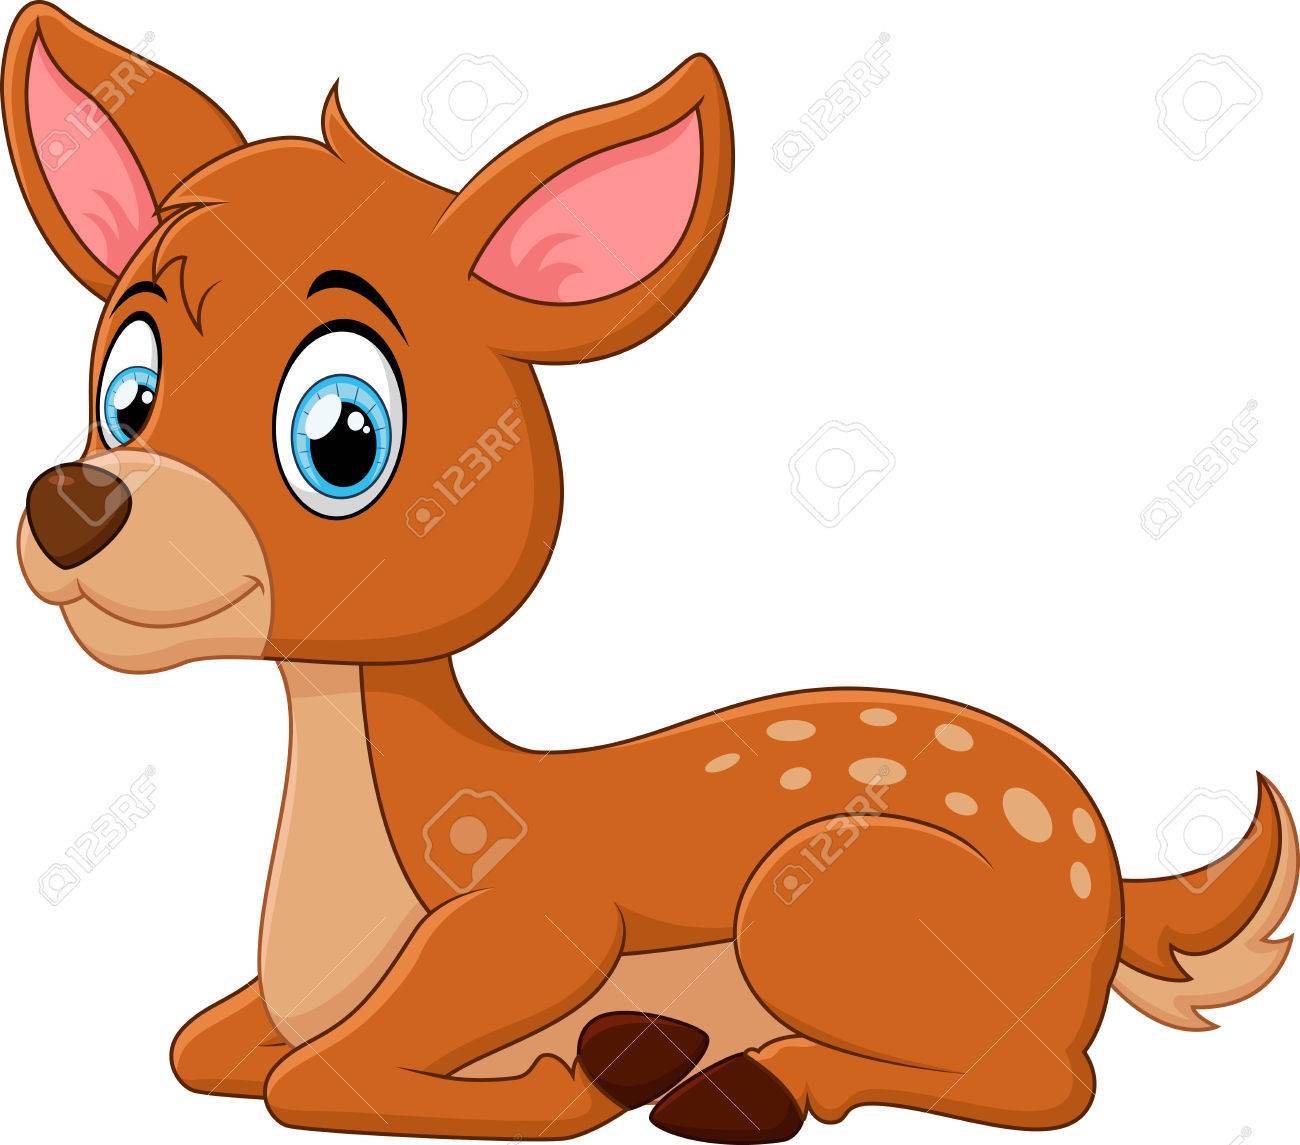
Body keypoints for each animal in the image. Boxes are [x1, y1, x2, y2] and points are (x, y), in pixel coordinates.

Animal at [6, 4, 1297, 1141]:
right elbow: (201, 1045)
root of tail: (1112, 881)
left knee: (1051, 1082)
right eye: (128, 388)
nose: (74, 501)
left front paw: (582, 1077)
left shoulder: (545, 912)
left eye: (341, 433)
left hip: (822, 897)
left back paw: (751, 1081)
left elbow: (314, 1075)